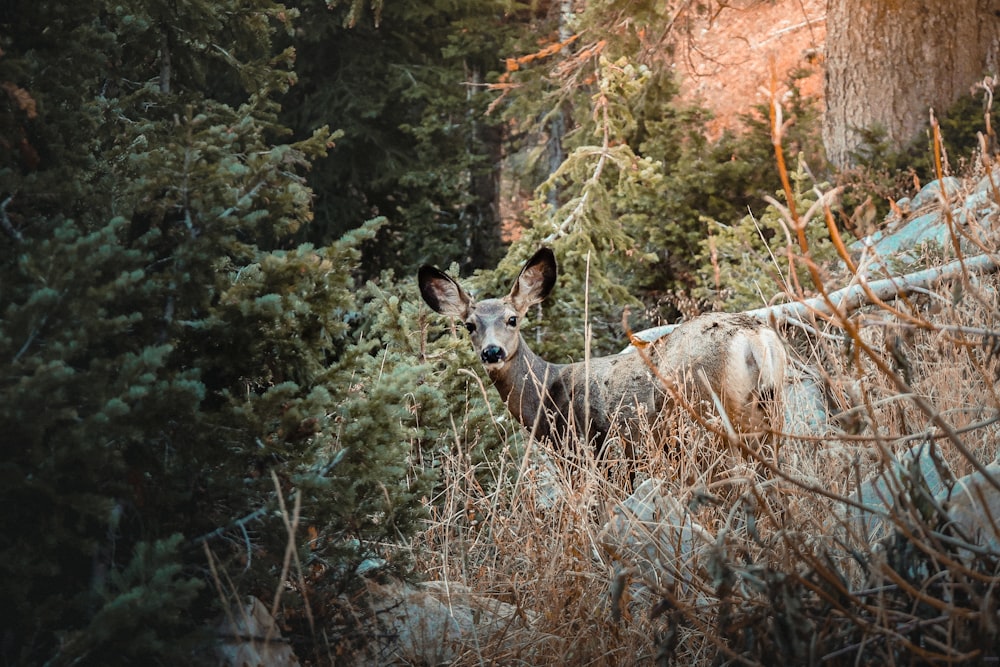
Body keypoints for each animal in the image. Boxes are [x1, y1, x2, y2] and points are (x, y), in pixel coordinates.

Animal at [418, 248, 784, 472]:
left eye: (512, 319)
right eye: (469, 325)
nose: (492, 352)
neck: (545, 391)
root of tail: (754, 339)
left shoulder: (585, 449)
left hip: (708, 419)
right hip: (770, 413)